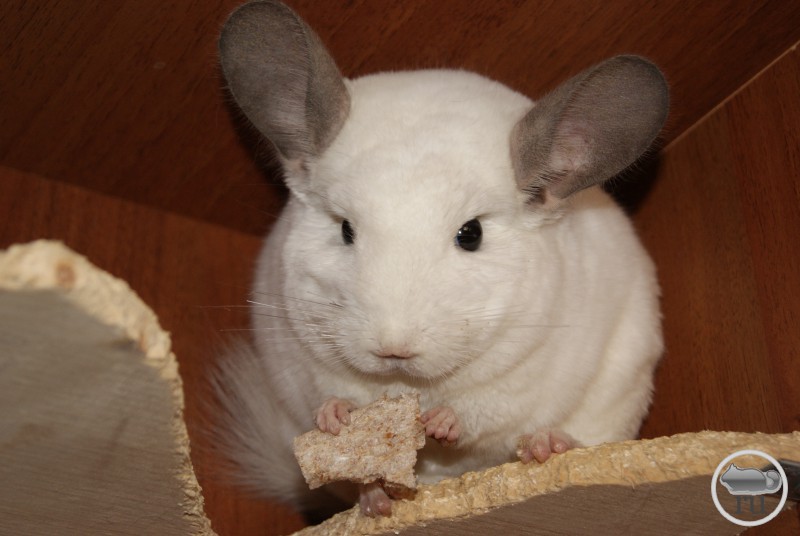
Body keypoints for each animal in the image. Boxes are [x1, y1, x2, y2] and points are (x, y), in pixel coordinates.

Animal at [213, 0, 668, 518]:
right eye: (345, 229)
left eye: (471, 234)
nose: (393, 348)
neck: (409, 386)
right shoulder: (301, 360)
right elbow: (327, 396)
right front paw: (335, 416)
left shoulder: (520, 376)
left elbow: (483, 411)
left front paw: (443, 423)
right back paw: (375, 497)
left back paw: (547, 445)